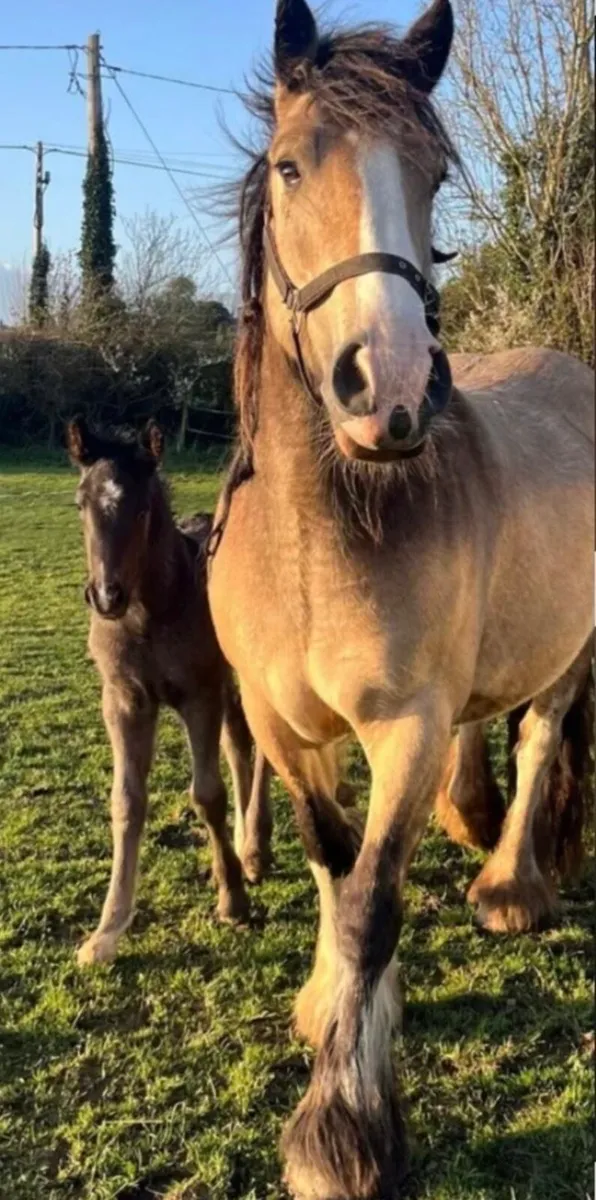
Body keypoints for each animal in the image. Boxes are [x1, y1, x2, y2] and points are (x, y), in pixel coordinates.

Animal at [66, 417, 272, 965]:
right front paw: (106, 931)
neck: (147, 616)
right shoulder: (124, 701)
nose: (106, 596)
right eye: (80, 503)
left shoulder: (197, 694)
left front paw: (232, 901)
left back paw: (254, 850)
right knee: (239, 744)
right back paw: (246, 846)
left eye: (141, 508)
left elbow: (206, 793)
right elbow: (126, 801)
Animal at [207, 0, 594, 1195]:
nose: (390, 388)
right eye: (292, 165)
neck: (318, 529)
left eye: (431, 174)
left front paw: (341, 1130)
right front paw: (328, 1005)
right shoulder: (283, 730)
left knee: (542, 737)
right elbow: (335, 874)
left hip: (571, 651)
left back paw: (510, 885)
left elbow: (373, 903)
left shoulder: (406, 727)